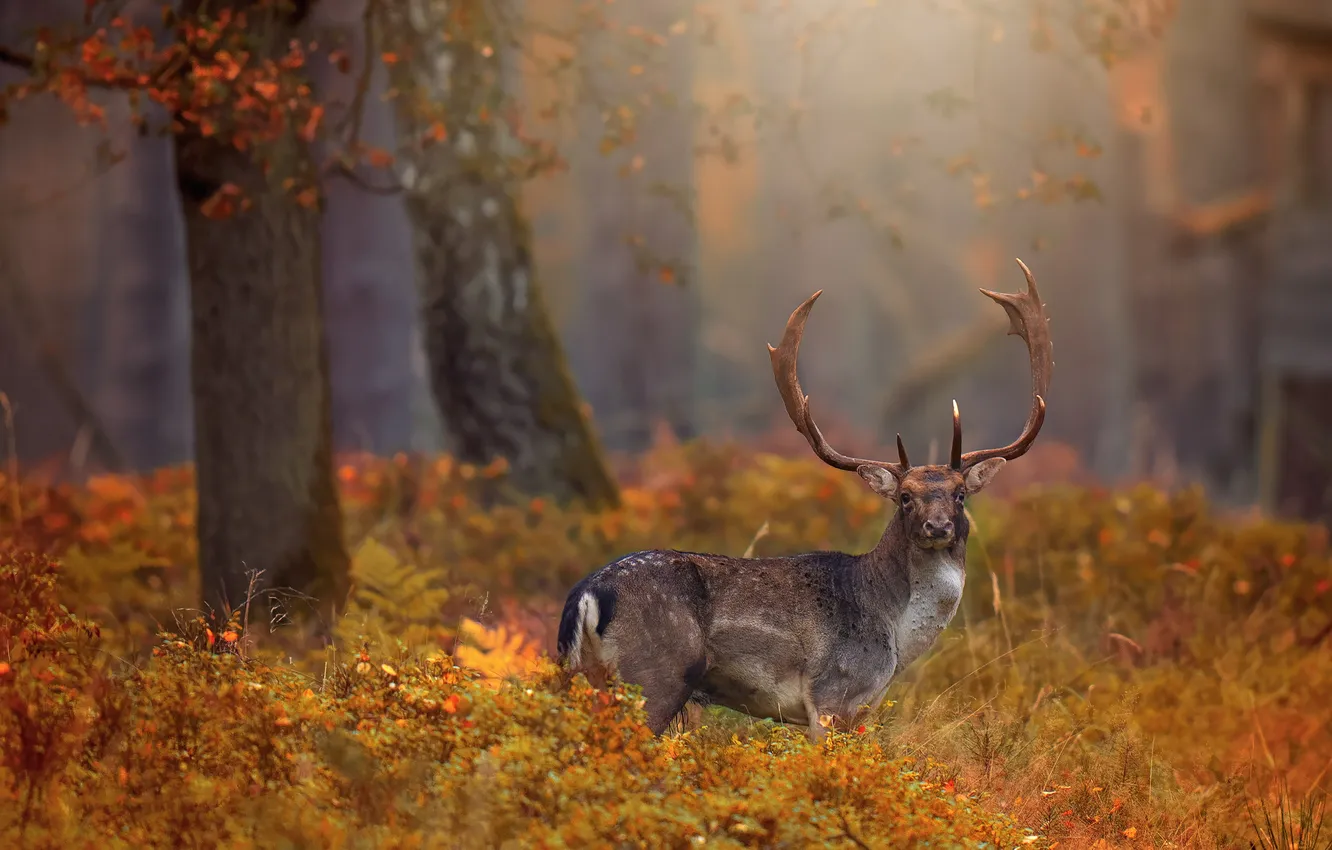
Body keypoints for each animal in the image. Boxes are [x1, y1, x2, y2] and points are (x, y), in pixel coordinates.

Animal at [557, 259, 1052, 740]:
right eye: (905, 498)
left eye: (960, 494)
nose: (937, 526)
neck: (894, 638)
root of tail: (585, 595)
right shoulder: (834, 695)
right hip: (655, 675)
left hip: (581, 675)